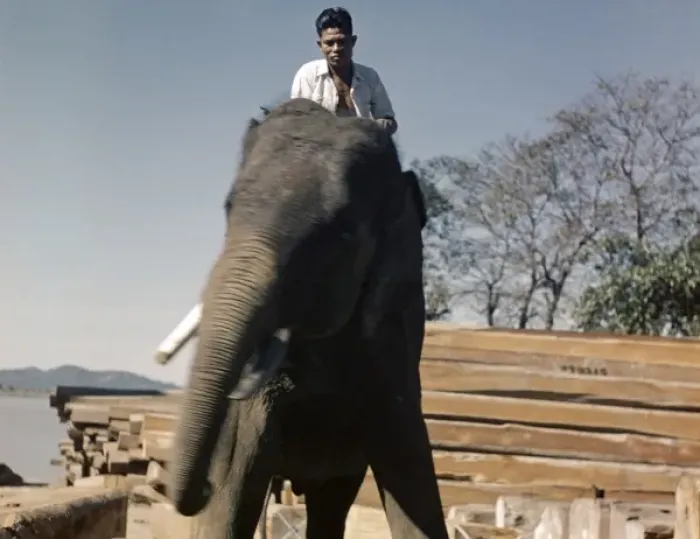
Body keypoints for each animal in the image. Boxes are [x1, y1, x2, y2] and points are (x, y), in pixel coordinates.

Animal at [169, 97, 448, 539]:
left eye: (341, 234)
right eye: (229, 209)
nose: (205, 485)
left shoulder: (394, 340)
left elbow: (411, 474)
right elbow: (236, 482)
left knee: (331, 505)